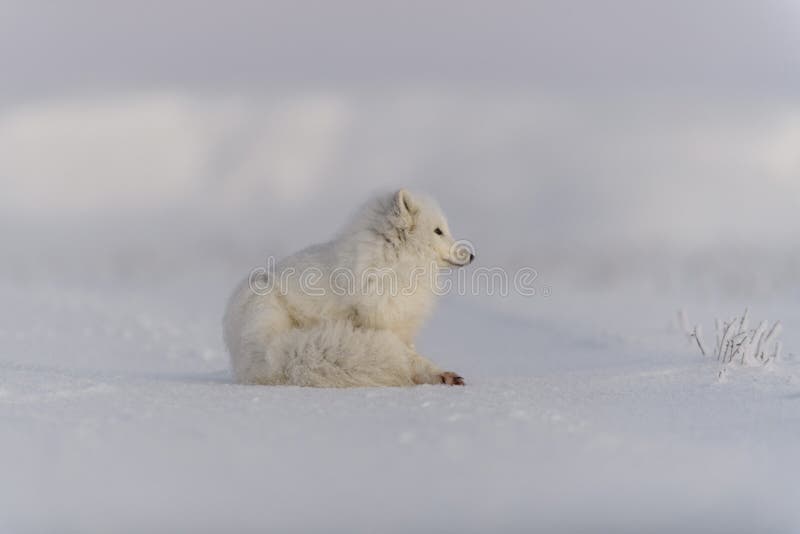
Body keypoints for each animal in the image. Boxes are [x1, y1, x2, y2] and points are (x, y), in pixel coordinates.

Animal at [223, 191, 476, 388]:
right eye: (438, 231)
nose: (472, 255)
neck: (393, 267)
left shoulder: (400, 325)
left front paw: (440, 375)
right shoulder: (375, 322)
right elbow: (410, 357)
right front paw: (436, 374)